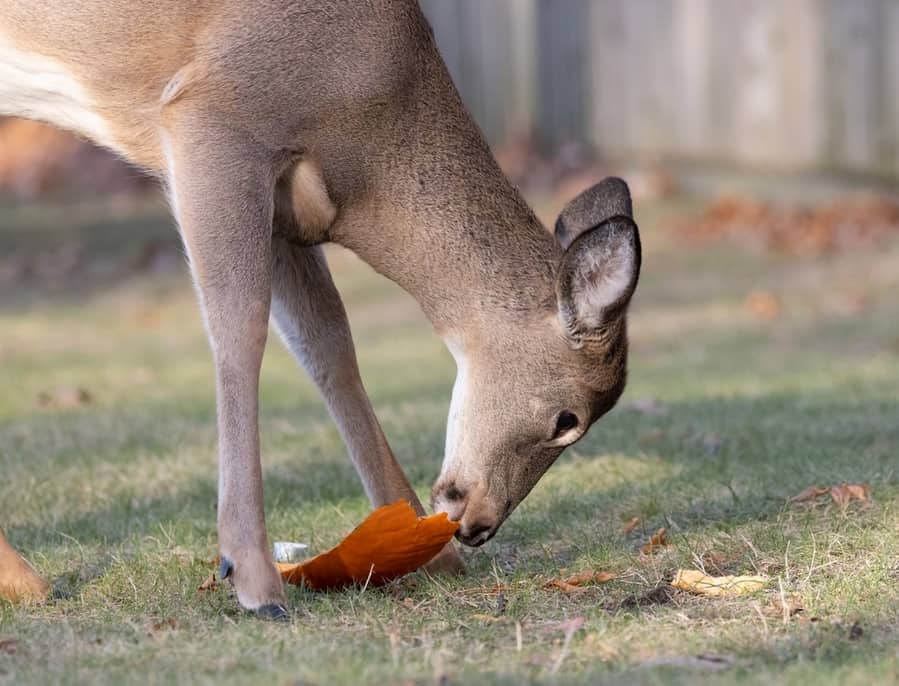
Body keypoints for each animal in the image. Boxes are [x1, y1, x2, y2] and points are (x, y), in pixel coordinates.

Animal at [3, 0, 644, 620]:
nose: (477, 526)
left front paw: (431, 559)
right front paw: (254, 580)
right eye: (568, 420)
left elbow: (330, 345)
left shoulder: (289, 207)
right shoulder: (214, 118)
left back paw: (28, 583)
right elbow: (240, 328)